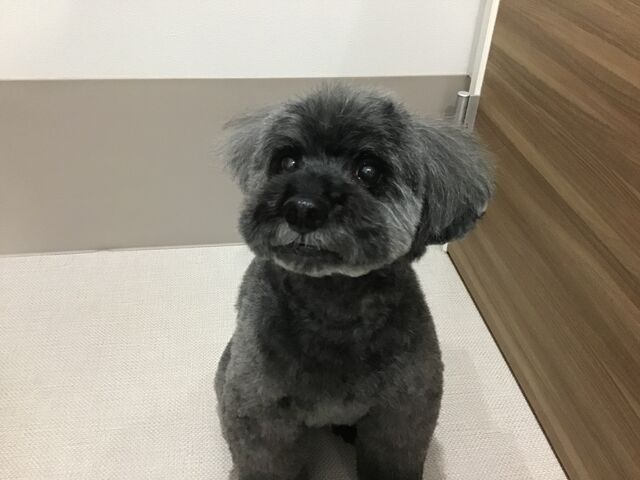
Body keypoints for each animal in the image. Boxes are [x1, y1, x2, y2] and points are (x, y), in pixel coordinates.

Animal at [215, 84, 493, 480]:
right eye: (288, 162)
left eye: (368, 171)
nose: (302, 208)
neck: (332, 306)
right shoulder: (261, 411)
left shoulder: (403, 413)